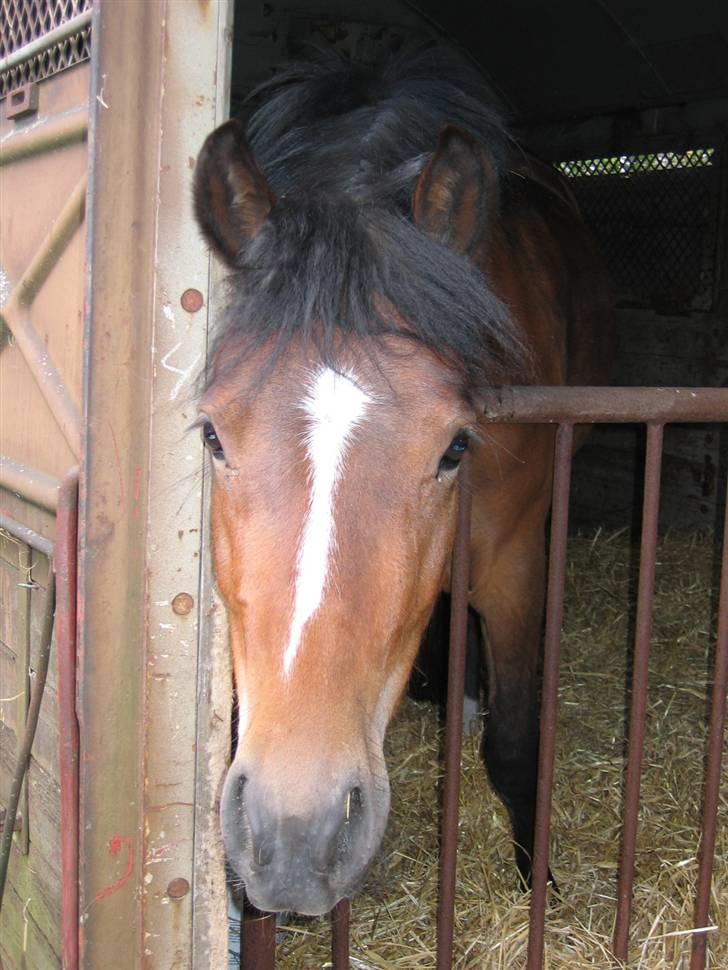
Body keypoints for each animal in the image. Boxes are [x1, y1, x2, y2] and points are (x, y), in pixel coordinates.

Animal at [193, 47, 616, 916]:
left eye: (455, 446)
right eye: (214, 434)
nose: (296, 839)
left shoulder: (516, 566)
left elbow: (515, 746)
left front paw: (538, 884)